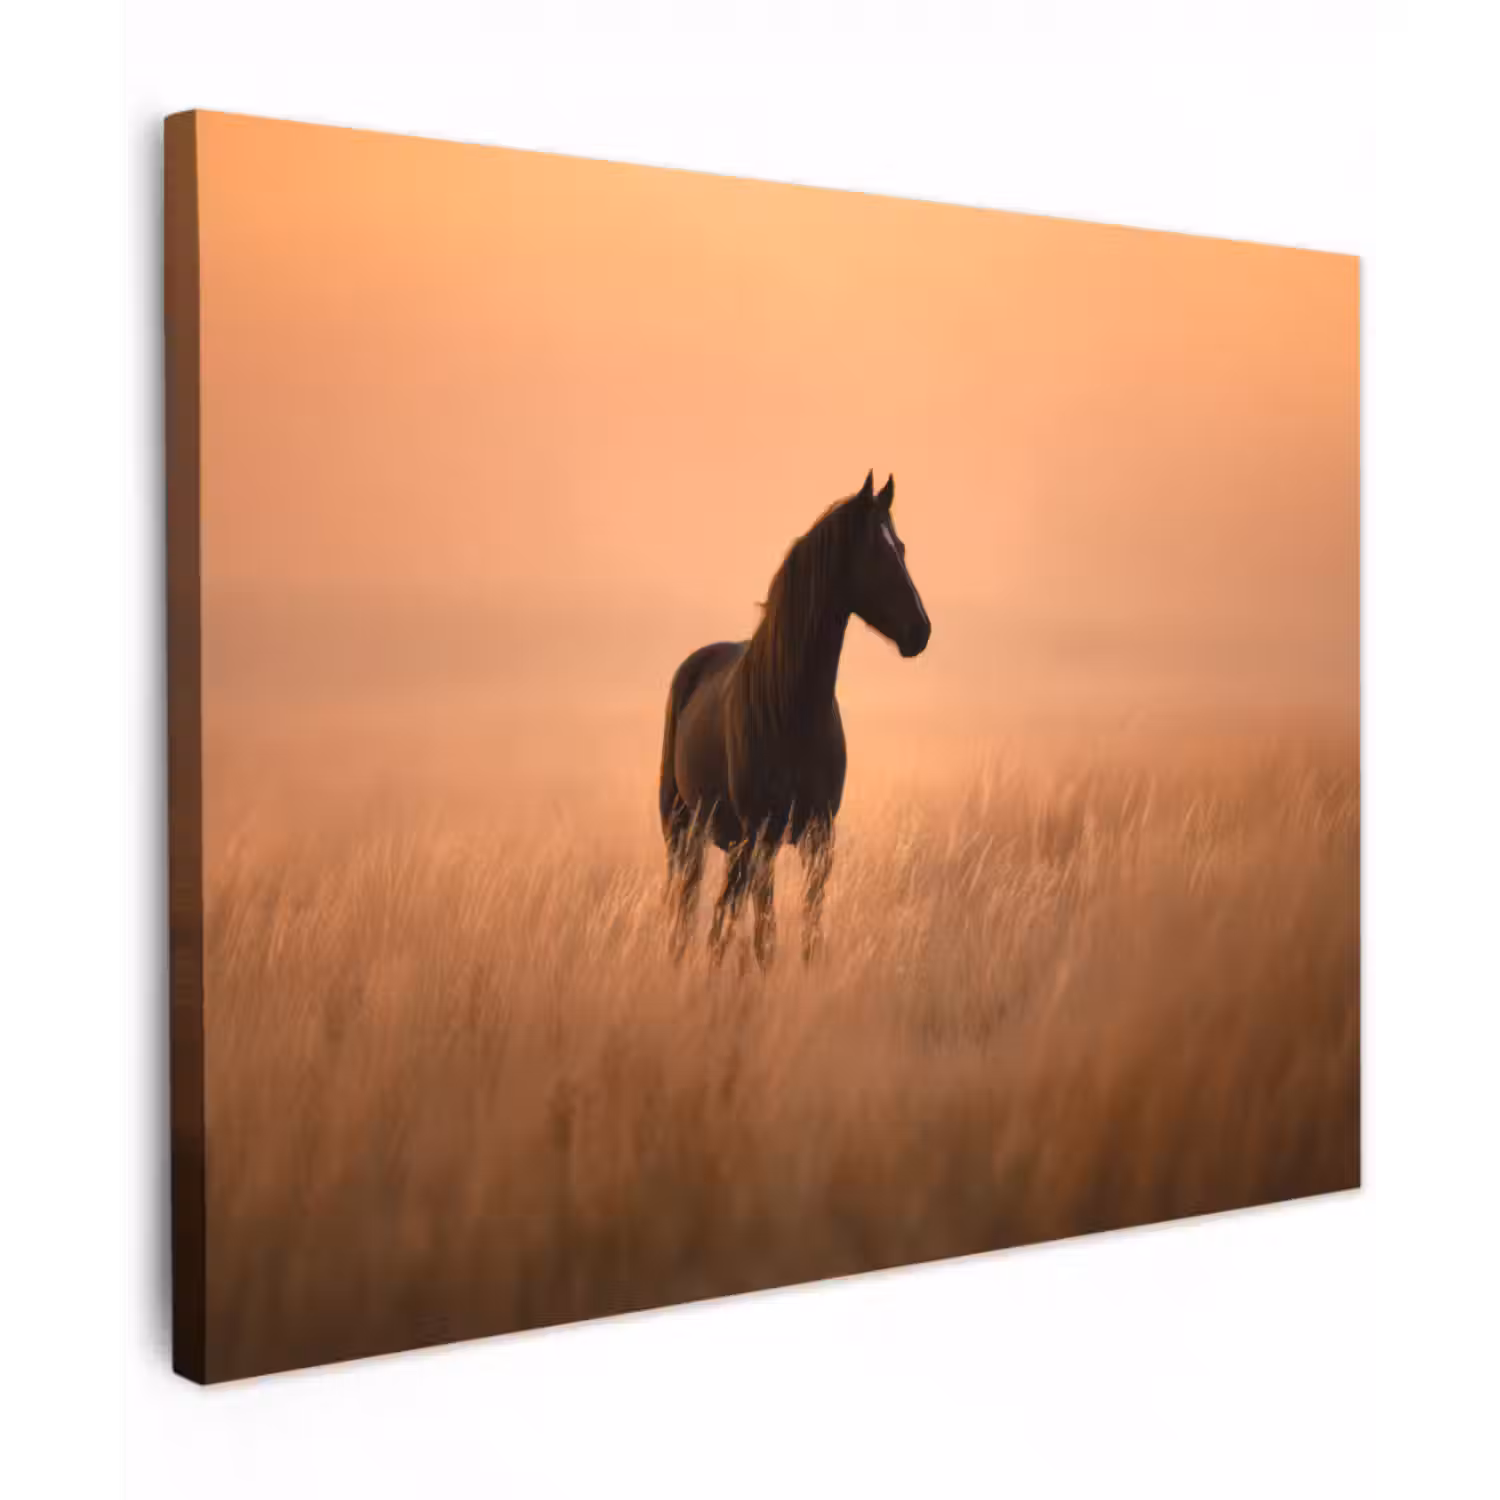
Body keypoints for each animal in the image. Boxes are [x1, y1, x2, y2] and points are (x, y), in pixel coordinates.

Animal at [657, 470, 931, 969]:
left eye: (900, 547)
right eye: (876, 552)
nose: (920, 631)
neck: (793, 710)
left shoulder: (819, 836)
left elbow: (809, 930)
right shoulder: (763, 836)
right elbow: (766, 936)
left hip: (733, 845)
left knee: (721, 916)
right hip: (682, 830)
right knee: (689, 912)